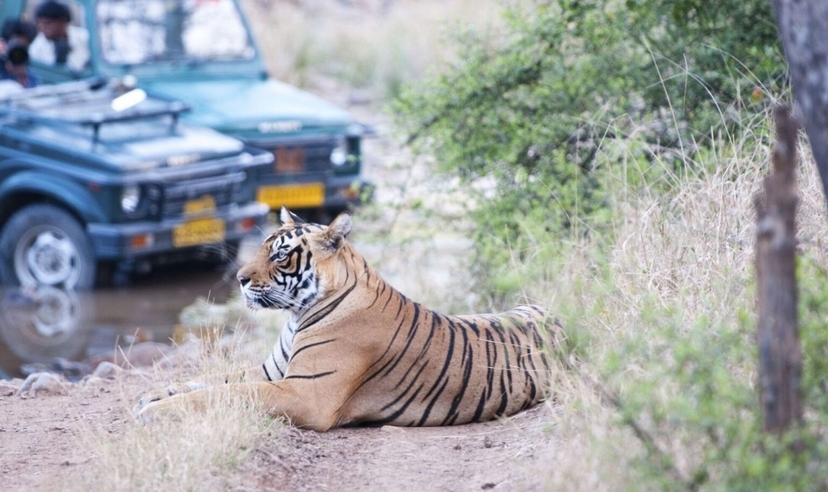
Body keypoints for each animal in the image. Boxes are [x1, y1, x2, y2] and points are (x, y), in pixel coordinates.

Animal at [135, 207, 555, 431]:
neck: (297, 315)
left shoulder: (304, 393)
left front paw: (154, 412)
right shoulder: (272, 372)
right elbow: (207, 380)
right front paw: (150, 395)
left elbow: (224, 393)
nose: (238, 279)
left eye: (279, 255)